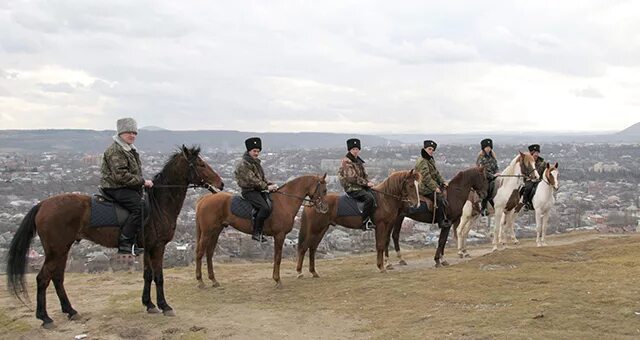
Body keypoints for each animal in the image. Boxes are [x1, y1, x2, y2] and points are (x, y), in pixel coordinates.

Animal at [5, 145, 224, 328]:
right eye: (201, 164)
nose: (220, 184)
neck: (158, 205)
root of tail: (42, 204)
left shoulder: (147, 247)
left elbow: (147, 275)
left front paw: (149, 304)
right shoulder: (158, 246)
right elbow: (159, 276)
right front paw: (165, 306)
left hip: (62, 250)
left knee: (57, 277)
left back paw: (70, 311)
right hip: (56, 250)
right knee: (43, 278)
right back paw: (45, 318)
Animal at [195, 174, 328, 288]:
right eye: (324, 190)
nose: (324, 208)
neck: (284, 201)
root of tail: (204, 199)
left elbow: (276, 257)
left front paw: (276, 279)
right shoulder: (279, 235)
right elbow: (278, 257)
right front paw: (277, 280)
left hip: (215, 232)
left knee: (209, 253)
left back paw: (213, 280)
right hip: (207, 233)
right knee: (200, 253)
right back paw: (200, 281)